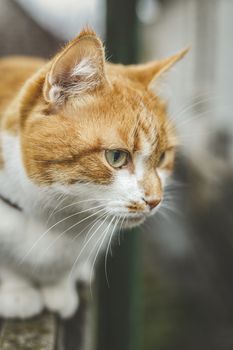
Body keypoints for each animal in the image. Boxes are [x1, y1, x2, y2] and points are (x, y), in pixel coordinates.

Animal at [0, 28, 187, 318]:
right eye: (116, 157)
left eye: (162, 158)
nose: (155, 200)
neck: (57, 220)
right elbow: (8, 269)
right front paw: (16, 292)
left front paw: (60, 288)